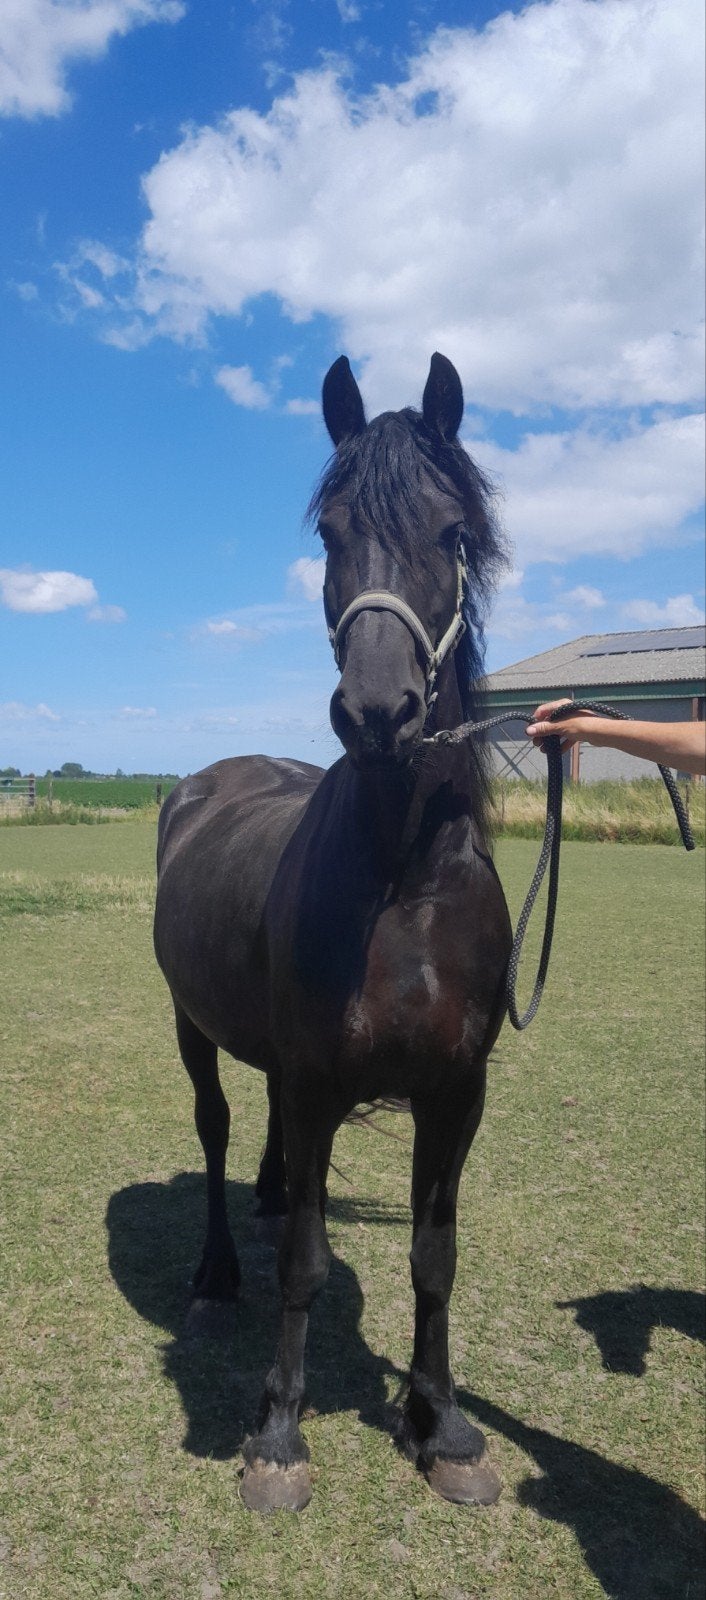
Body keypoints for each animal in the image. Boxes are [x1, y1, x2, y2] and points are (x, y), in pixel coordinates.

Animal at [153, 353, 513, 1512]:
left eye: (453, 532)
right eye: (329, 533)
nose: (378, 712)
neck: (402, 884)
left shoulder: (455, 1092)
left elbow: (435, 1256)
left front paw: (441, 1424)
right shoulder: (318, 1084)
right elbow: (305, 1265)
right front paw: (277, 1432)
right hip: (191, 1024)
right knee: (218, 1127)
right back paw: (219, 1269)